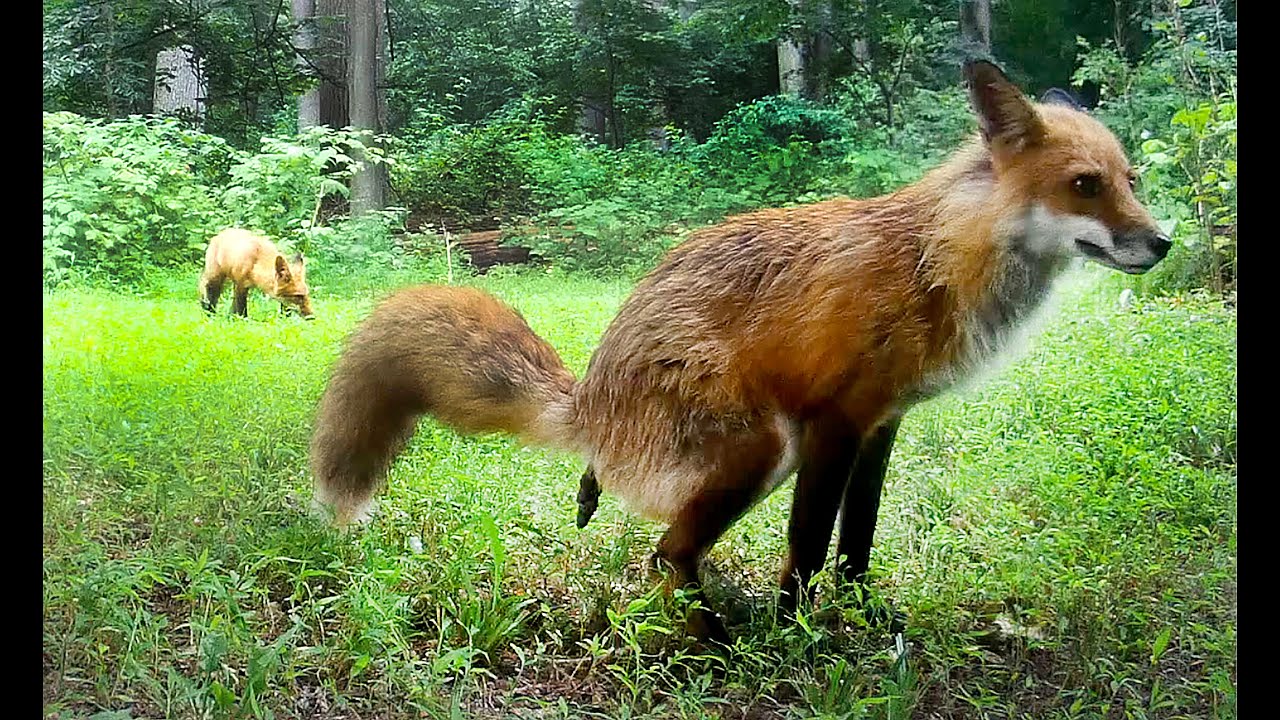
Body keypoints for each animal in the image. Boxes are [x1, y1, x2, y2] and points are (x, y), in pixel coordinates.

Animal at [309, 60, 1171, 644]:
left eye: (1130, 179)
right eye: (1086, 185)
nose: (1163, 243)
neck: (933, 263)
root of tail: (589, 401)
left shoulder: (883, 423)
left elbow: (857, 543)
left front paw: (860, 618)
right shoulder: (833, 420)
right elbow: (810, 546)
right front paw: (798, 636)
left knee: (671, 550)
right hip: (762, 448)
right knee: (665, 554)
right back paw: (719, 638)